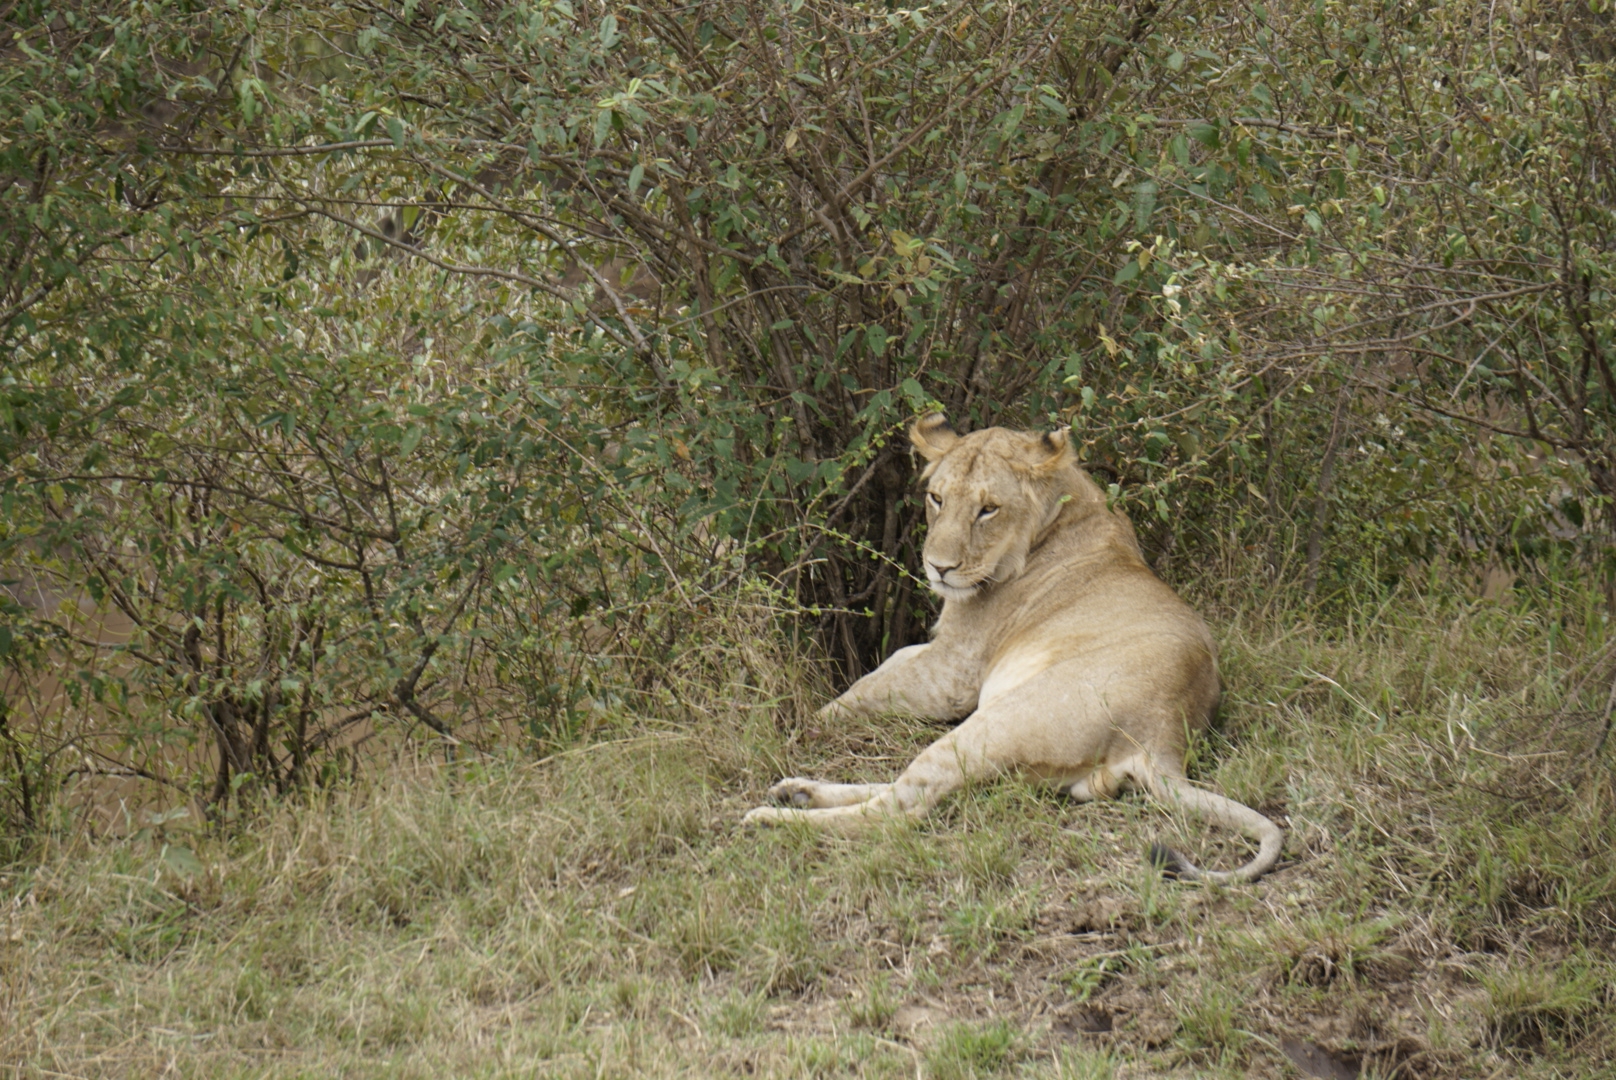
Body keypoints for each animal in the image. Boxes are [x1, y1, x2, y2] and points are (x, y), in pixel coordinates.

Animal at [743, 417, 1286, 885]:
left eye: (988, 509)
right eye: (936, 499)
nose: (938, 568)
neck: (1060, 516)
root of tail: (1166, 737)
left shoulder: (954, 674)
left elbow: (860, 694)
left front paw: (804, 725)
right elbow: (884, 668)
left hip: (998, 721)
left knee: (902, 808)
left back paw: (772, 820)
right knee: (912, 784)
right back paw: (796, 791)